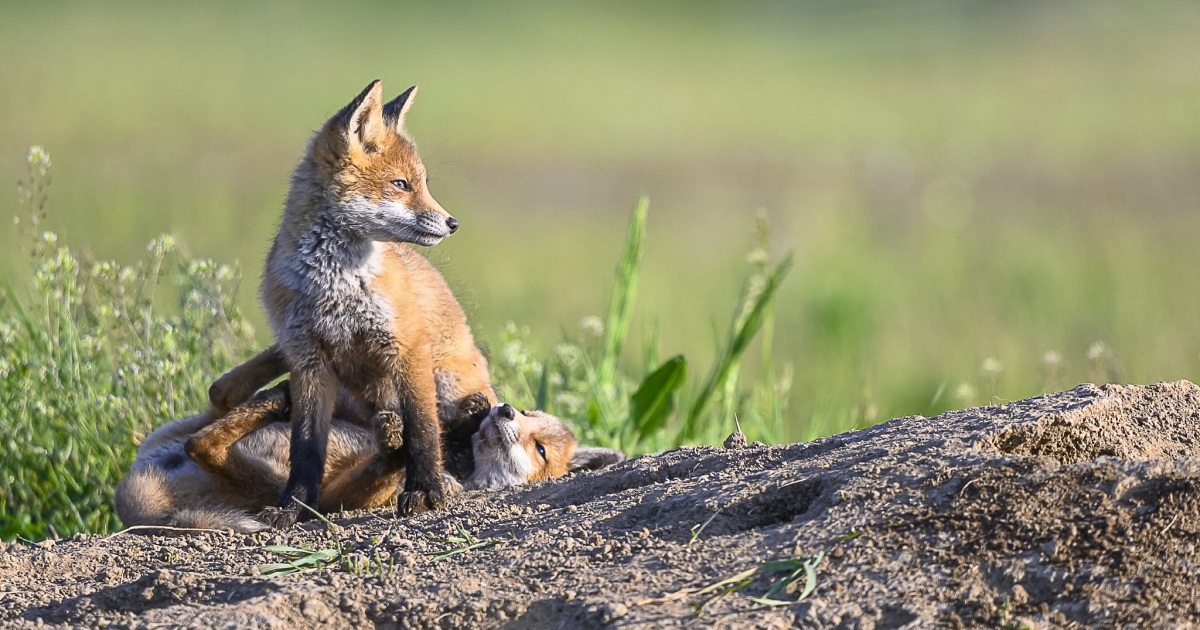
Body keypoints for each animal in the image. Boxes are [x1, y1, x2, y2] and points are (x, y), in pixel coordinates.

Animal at [115, 381, 624, 532]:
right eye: (530, 412)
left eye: (540, 450)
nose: (505, 409)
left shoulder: (340, 498)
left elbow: (392, 466)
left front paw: (403, 449)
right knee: (209, 422)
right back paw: (277, 393)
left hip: (275, 488)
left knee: (204, 445)